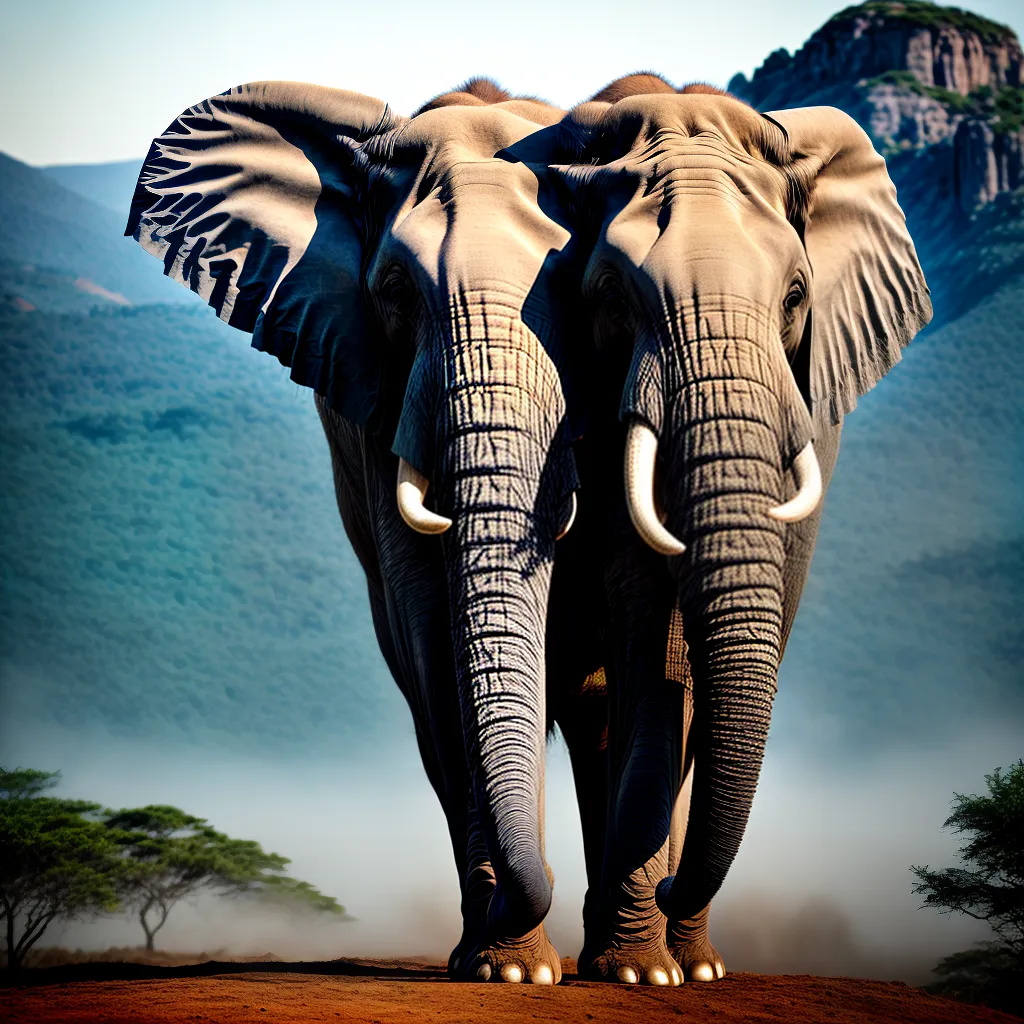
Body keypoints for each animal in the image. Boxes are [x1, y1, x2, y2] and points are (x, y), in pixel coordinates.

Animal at [125, 78, 610, 985]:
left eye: (572, 292)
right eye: (392, 290)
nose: (524, 885)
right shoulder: (374, 403)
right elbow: (433, 635)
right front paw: (506, 969)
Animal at [548, 75, 932, 985]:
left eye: (795, 296)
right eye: (610, 298)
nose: (669, 885)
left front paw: (658, 961)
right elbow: (647, 622)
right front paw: (637, 969)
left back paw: (690, 961)